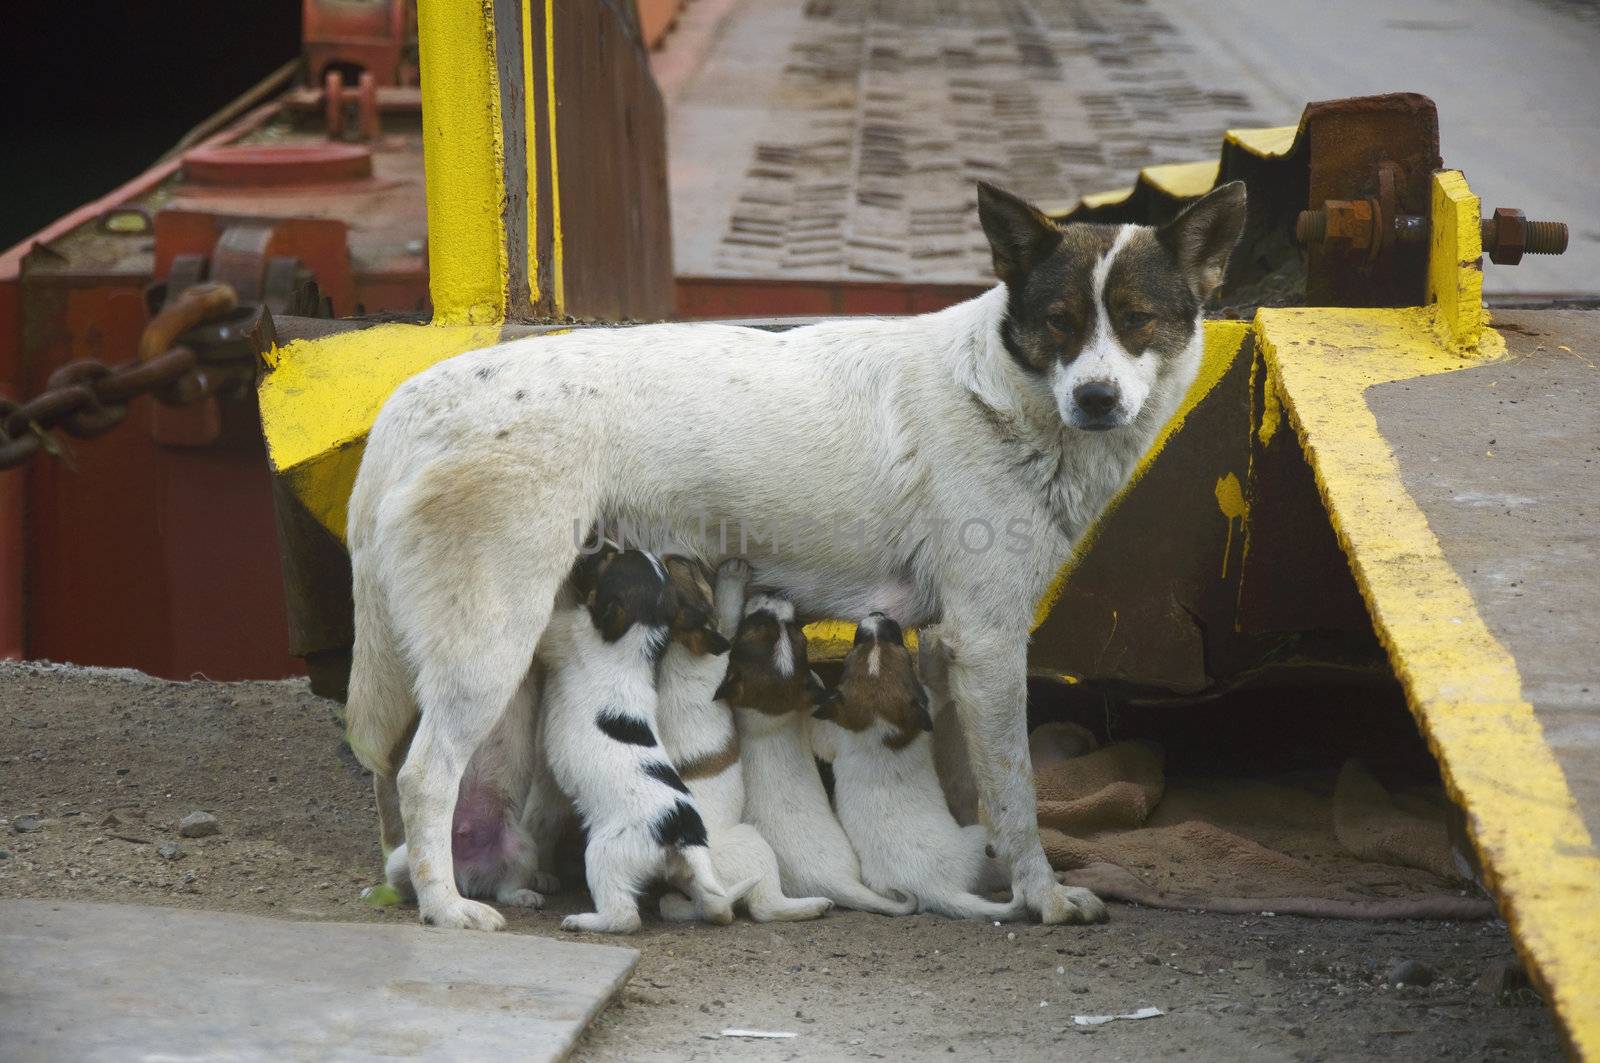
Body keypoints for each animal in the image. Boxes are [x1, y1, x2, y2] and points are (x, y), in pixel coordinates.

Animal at [656, 557, 838, 922]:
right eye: (699, 580)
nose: (674, 556)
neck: (680, 649)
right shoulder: (726, 646)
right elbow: (728, 613)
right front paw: (733, 576)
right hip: (752, 843)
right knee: (765, 905)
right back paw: (814, 905)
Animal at [812, 614, 1024, 922]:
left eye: (858, 648)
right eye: (898, 646)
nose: (877, 616)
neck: (879, 724)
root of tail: (937, 890)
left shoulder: (834, 737)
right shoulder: (930, 698)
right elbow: (937, 684)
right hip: (979, 840)